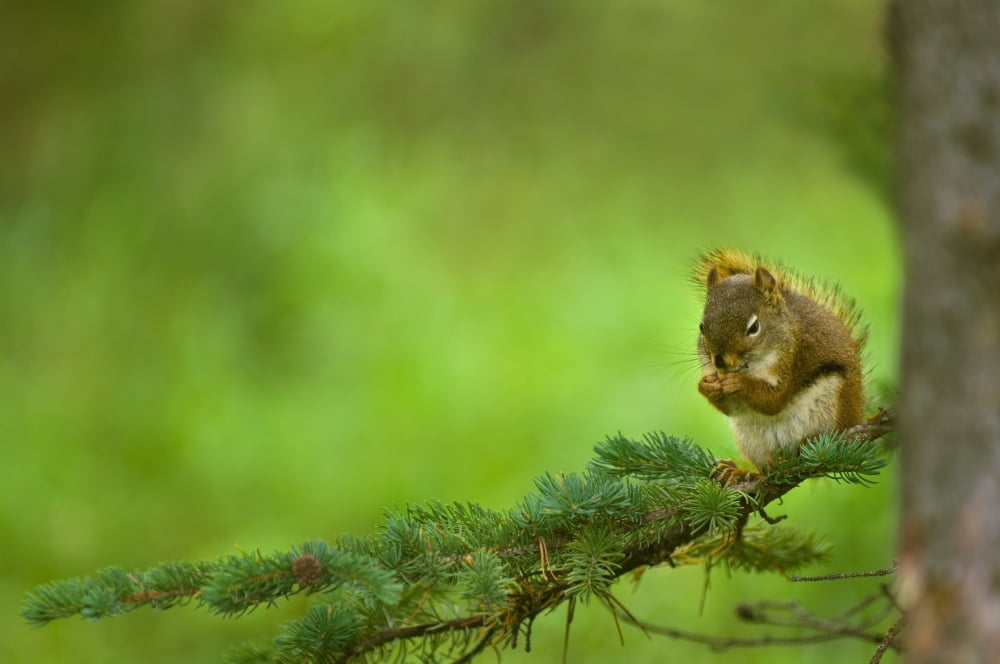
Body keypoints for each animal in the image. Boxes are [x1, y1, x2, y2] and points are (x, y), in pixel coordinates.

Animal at [692, 249, 867, 480]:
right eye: (701, 326)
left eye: (754, 327)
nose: (719, 362)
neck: (751, 366)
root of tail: (857, 417)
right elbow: (730, 408)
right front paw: (706, 386)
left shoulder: (793, 361)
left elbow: (774, 401)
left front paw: (739, 382)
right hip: (751, 440)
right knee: (763, 471)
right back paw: (738, 472)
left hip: (831, 408)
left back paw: (806, 445)